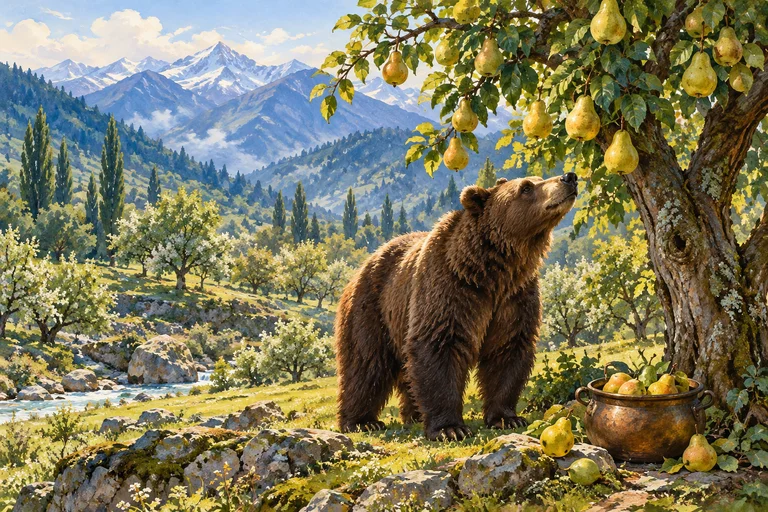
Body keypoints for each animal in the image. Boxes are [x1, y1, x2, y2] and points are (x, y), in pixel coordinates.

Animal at [334, 172, 578, 441]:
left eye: (537, 178)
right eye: (526, 187)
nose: (569, 177)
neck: (493, 271)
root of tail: (362, 266)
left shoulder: (515, 297)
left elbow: (508, 349)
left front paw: (507, 418)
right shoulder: (452, 288)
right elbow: (440, 344)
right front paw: (450, 428)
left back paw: (414, 414)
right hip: (373, 309)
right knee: (366, 364)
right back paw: (362, 421)